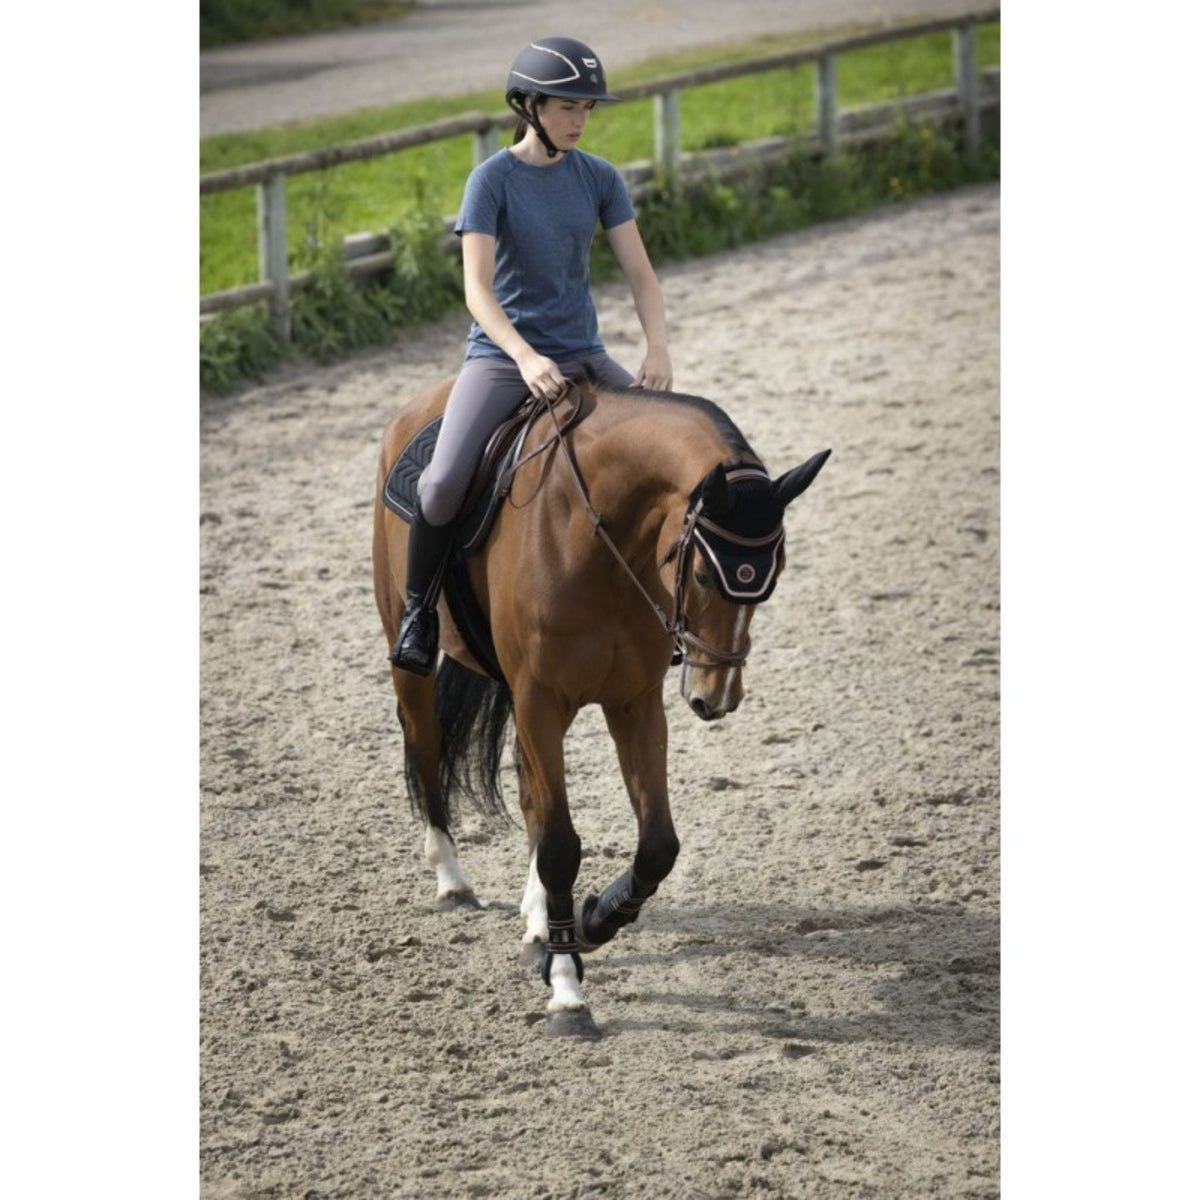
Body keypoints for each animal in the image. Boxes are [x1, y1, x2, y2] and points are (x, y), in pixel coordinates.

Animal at [372, 374, 830, 1038]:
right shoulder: (539, 701)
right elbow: (562, 845)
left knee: (531, 800)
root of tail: (418, 406)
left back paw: (539, 923)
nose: (714, 698)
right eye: (701, 573)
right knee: (426, 746)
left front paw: (591, 922)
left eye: (770, 581)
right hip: (415, 655)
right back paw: (453, 882)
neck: (600, 536)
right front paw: (567, 992)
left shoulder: (634, 701)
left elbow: (657, 844)